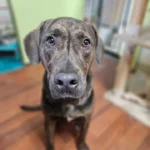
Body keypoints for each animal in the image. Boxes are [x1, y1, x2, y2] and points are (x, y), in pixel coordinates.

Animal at [21, 17, 103, 150]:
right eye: (50, 40)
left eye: (86, 42)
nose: (66, 81)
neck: (68, 101)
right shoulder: (49, 120)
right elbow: (50, 139)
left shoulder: (87, 118)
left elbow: (83, 135)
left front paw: (82, 145)